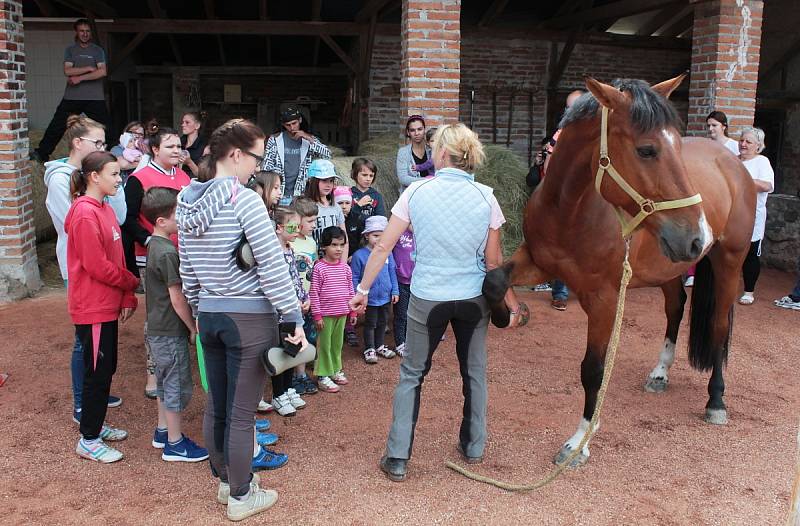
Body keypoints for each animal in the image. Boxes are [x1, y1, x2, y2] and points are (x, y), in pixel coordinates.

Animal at [484, 73, 752, 466]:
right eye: (647, 150)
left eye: (675, 145)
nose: (697, 235)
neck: (570, 209)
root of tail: (731, 161)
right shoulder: (538, 262)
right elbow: (493, 280)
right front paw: (506, 315)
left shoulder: (604, 299)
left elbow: (593, 369)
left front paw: (579, 441)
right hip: (668, 266)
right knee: (676, 307)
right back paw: (660, 373)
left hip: (729, 260)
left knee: (719, 325)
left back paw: (716, 400)